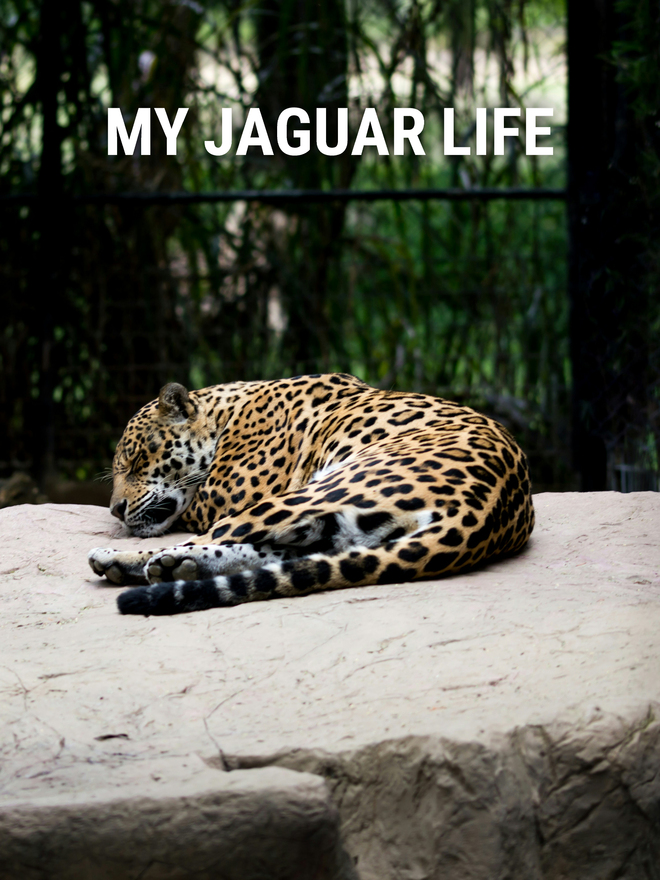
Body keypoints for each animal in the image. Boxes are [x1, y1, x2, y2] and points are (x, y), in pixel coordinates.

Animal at [88, 373, 535, 616]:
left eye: (137, 460)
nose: (116, 510)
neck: (227, 414)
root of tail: (481, 514)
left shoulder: (224, 495)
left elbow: (190, 514)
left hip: (313, 490)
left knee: (217, 539)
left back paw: (130, 561)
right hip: (343, 522)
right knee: (295, 555)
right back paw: (178, 568)